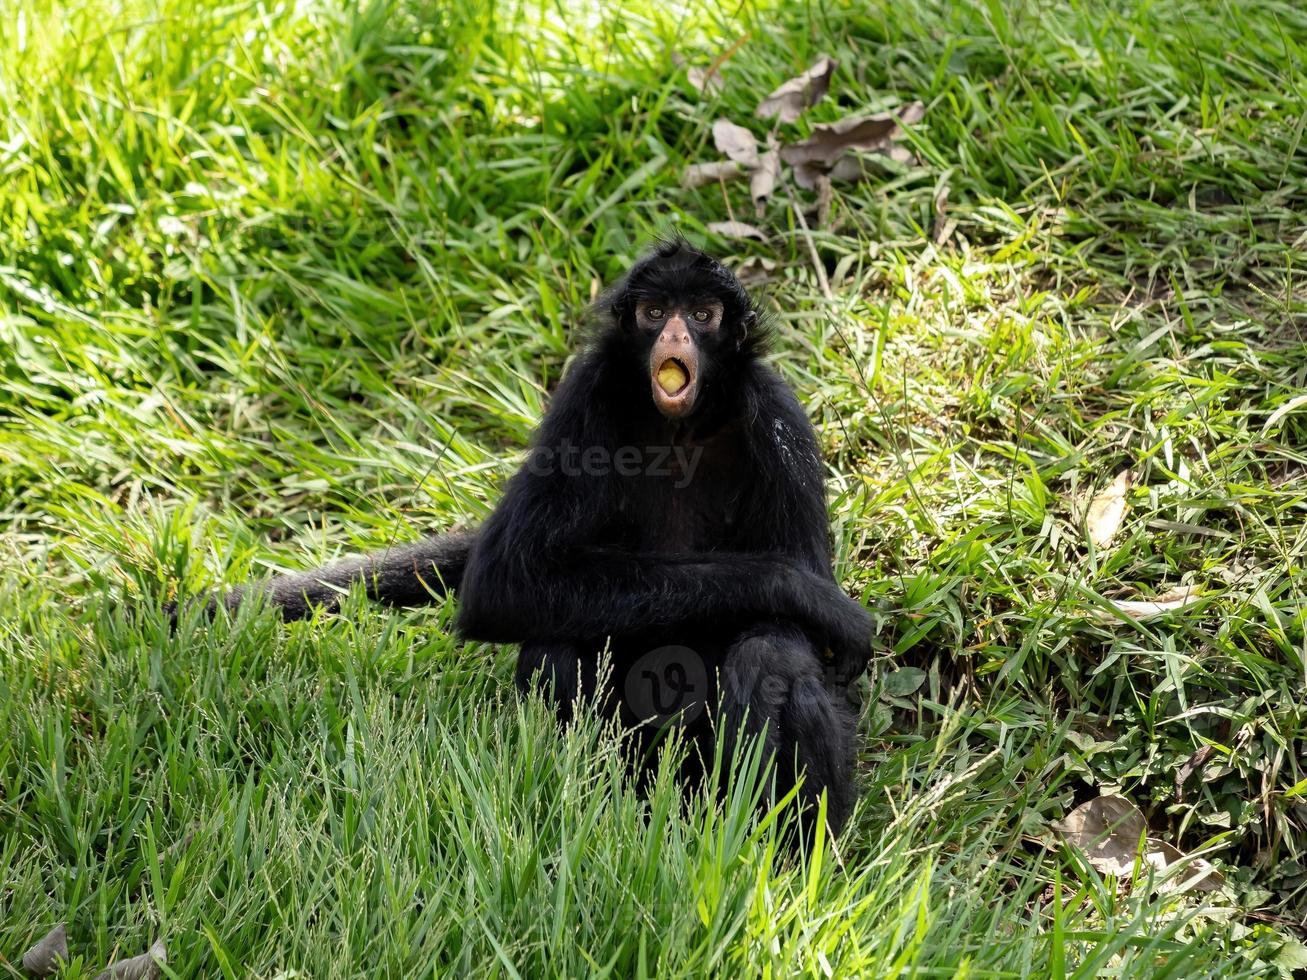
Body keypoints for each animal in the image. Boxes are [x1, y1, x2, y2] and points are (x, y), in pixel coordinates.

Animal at [198, 244, 873, 836]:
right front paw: (797, 589)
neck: (679, 434)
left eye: (702, 315)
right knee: (556, 639)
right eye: (656, 312)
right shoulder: (585, 398)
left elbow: (796, 643)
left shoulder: (777, 419)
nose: (678, 337)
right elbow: (504, 582)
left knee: (769, 655)